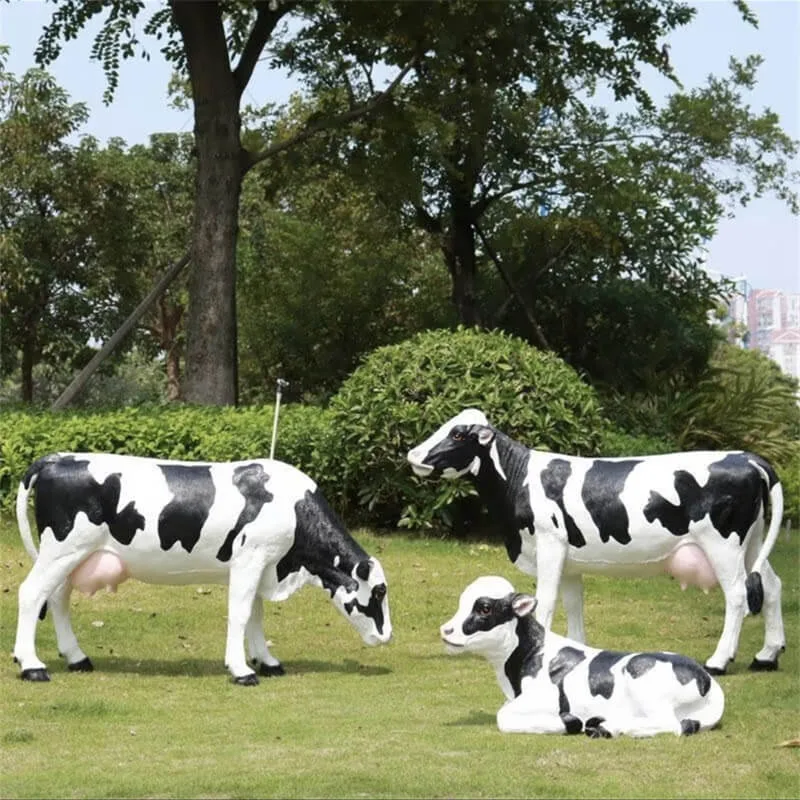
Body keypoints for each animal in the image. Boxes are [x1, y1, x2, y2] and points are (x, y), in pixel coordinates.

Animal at [13, 452, 392, 684]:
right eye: (379, 592)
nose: (386, 636)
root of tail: (57, 458)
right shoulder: (251, 559)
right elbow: (240, 613)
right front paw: (241, 670)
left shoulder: (260, 565)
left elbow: (255, 615)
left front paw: (266, 661)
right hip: (62, 549)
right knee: (31, 593)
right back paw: (32, 665)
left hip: (74, 556)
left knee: (57, 598)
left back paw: (77, 658)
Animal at [408, 408, 785, 675]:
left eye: (458, 433)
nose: (412, 455)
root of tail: (746, 457)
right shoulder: (570, 561)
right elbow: (574, 604)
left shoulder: (550, 546)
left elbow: (545, 602)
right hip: (752, 541)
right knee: (770, 585)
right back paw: (767, 655)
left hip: (722, 544)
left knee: (737, 594)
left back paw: (719, 660)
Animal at [441, 575, 725, 738]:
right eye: (461, 603)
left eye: (484, 608)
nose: (446, 630)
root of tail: (707, 679)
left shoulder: (545, 699)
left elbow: (503, 717)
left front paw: (568, 722)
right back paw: (603, 725)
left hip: (644, 682)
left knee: (671, 725)